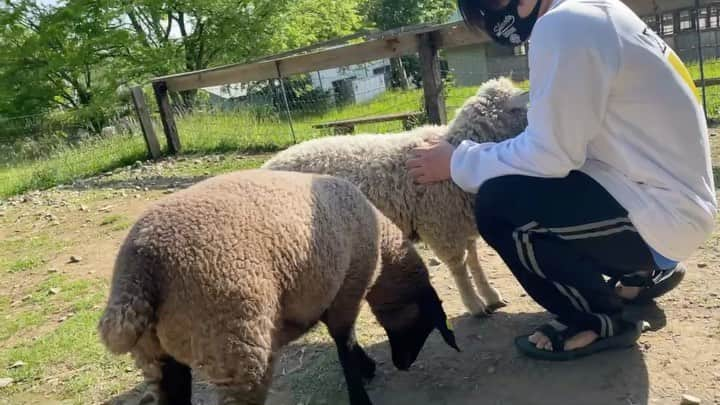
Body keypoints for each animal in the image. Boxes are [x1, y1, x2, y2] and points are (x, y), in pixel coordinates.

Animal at [97, 168, 456, 404]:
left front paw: (366, 367)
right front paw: (361, 388)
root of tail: (141, 267)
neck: (382, 246)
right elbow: (345, 342)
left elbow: (341, 339)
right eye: (426, 323)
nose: (402, 364)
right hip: (236, 347)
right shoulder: (347, 289)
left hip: (157, 356)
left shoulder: (323, 292)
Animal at [260, 76, 528, 316]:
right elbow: (459, 265)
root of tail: (266, 166)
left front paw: (490, 295)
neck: (453, 144)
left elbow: (474, 259)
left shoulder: (461, 221)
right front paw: (474, 304)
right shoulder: (440, 225)